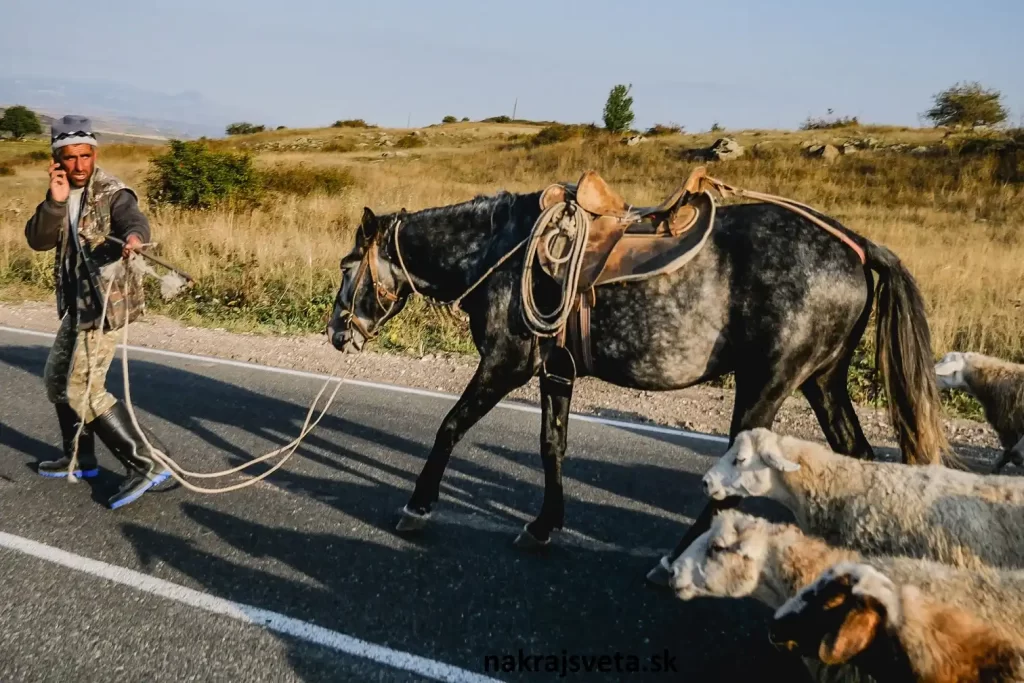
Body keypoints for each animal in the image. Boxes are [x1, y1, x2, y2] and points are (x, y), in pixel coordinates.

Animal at [325, 179, 950, 585]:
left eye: (348, 265)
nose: (336, 332)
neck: (503, 252)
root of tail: (855, 247)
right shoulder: (556, 372)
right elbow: (552, 446)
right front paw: (544, 526)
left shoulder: (506, 363)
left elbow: (450, 427)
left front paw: (419, 507)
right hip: (823, 381)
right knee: (858, 454)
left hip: (767, 385)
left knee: (736, 476)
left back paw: (677, 562)